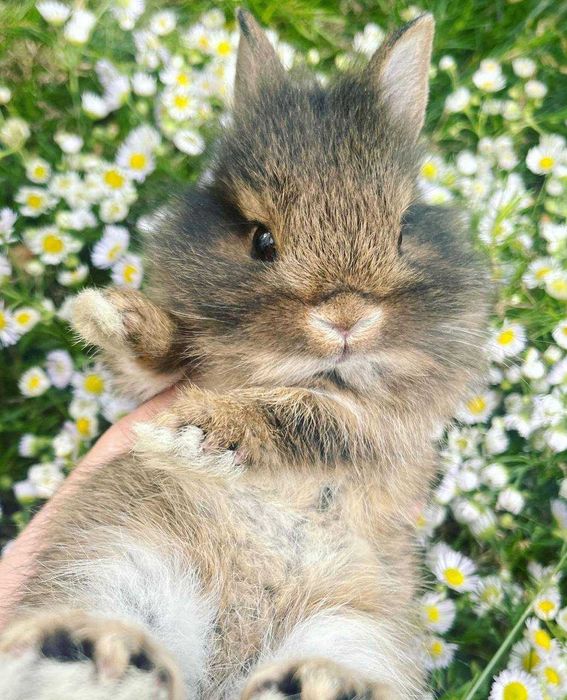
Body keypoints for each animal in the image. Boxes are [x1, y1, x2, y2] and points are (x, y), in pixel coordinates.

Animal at [0, 9, 489, 700]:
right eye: (262, 240)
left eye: (400, 232)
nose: (346, 319)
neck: (316, 366)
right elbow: (162, 361)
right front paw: (108, 314)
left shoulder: (386, 427)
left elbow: (312, 415)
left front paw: (192, 432)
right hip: (123, 560)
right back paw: (96, 654)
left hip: (354, 623)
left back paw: (318, 682)